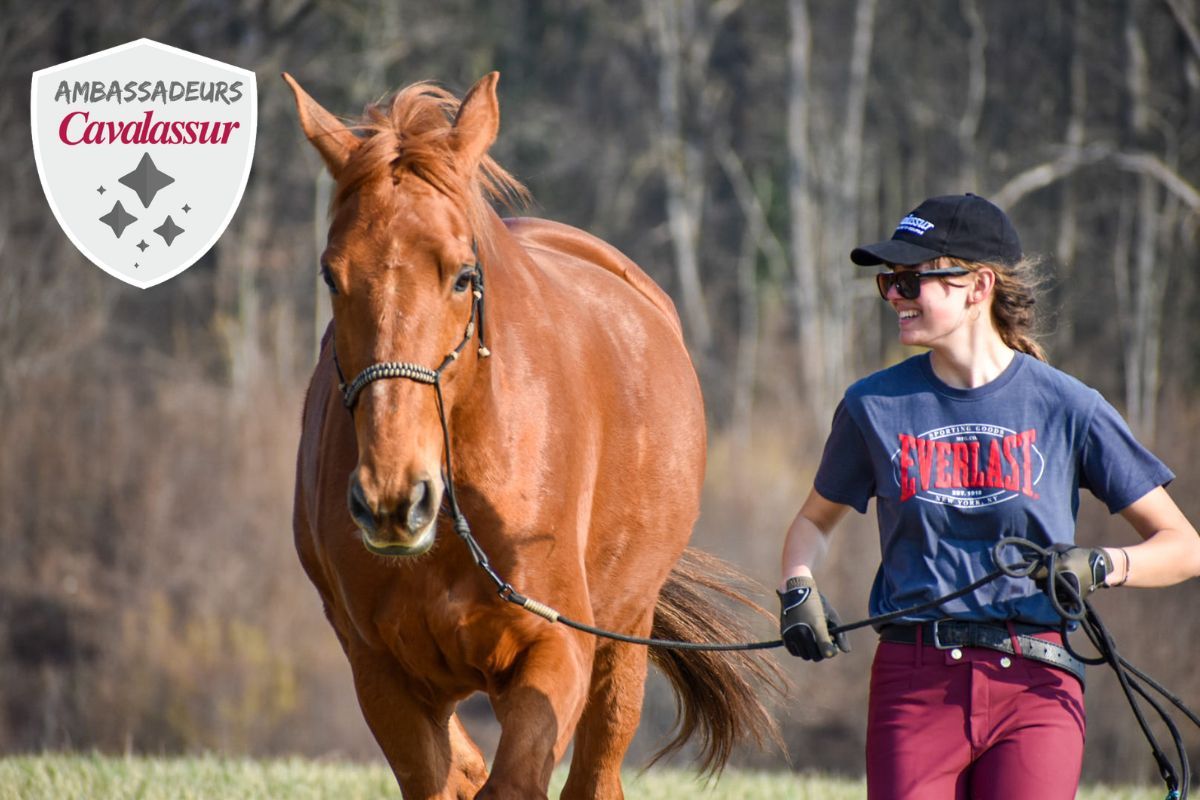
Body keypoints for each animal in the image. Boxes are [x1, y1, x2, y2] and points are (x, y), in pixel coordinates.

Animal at [290, 71, 777, 796]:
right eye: (332, 275)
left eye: (464, 275)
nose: (394, 499)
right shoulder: (382, 674)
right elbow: (447, 776)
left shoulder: (557, 650)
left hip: (623, 637)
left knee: (596, 774)